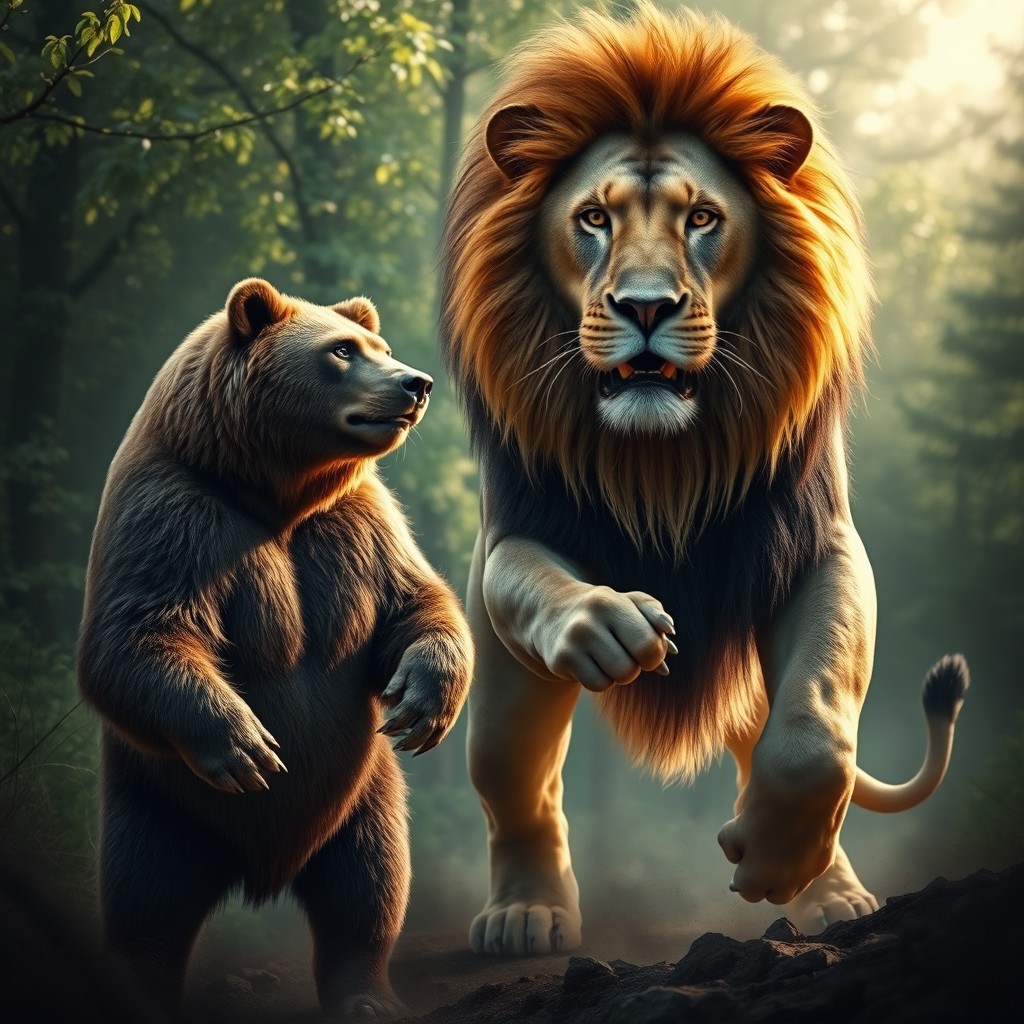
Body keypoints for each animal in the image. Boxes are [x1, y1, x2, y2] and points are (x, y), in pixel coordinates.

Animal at [76, 278, 474, 1019]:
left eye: (379, 345)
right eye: (343, 350)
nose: (416, 382)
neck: (273, 492)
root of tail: (264, 870)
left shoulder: (355, 524)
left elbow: (413, 601)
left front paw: (421, 702)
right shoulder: (176, 516)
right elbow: (136, 636)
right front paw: (246, 742)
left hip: (362, 791)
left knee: (367, 886)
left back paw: (367, 995)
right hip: (161, 802)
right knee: (147, 905)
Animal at [438, 2, 969, 953]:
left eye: (702, 220)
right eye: (594, 219)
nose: (646, 307)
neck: (666, 460)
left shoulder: (818, 540)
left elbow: (814, 737)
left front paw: (776, 861)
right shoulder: (516, 530)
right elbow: (543, 585)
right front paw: (615, 623)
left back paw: (832, 894)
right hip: (501, 695)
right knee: (517, 787)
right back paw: (527, 913)